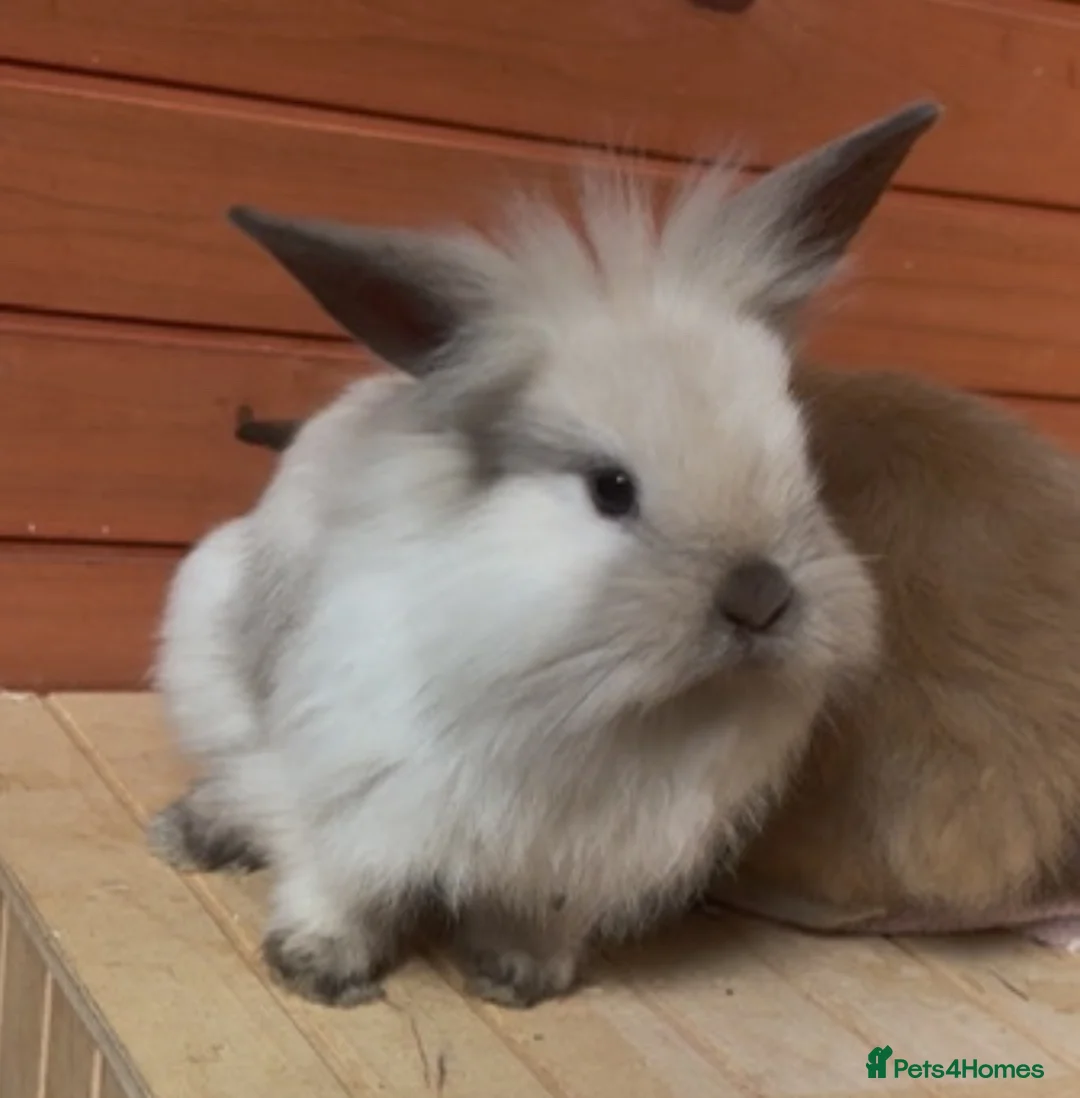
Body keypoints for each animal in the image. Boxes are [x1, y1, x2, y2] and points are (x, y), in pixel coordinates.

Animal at [146, 101, 940, 1009]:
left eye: (803, 463)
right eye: (610, 488)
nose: (761, 598)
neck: (589, 703)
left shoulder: (579, 859)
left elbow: (539, 914)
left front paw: (521, 977)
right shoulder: (349, 789)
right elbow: (339, 880)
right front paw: (318, 966)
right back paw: (189, 832)